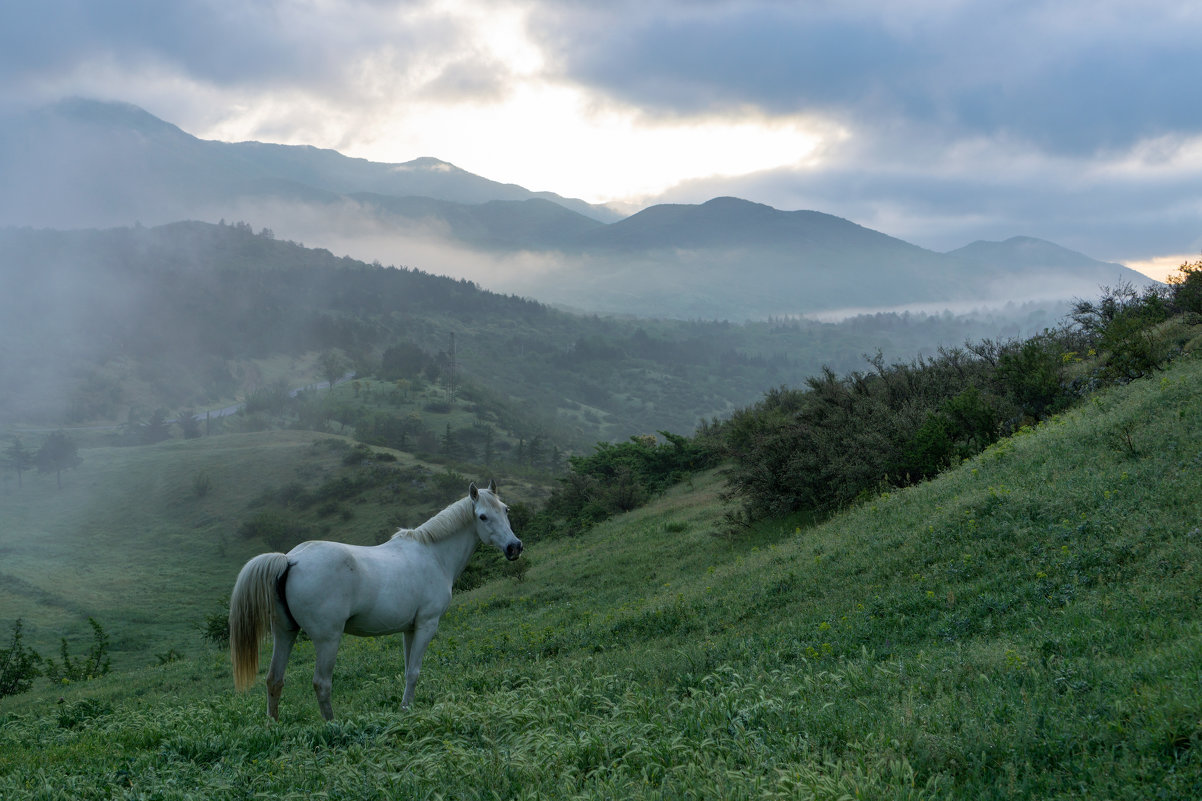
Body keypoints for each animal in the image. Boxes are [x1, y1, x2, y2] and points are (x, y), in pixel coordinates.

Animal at [229, 476, 521, 721]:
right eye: (482, 516)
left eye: (505, 510)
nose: (514, 547)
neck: (433, 554)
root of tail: (290, 559)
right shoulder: (427, 624)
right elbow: (414, 671)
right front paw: (405, 710)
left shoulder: (409, 629)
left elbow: (408, 669)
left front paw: (406, 708)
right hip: (327, 640)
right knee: (321, 683)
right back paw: (332, 725)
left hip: (285, 632)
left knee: (274, 680)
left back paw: (274, 725)